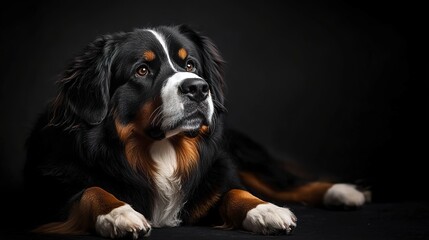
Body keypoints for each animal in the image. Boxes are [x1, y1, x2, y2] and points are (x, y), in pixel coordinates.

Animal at [24, 24, 368, 238]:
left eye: (189, 64)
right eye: (142, 70)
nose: (198, 89)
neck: (161, 151)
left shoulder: (217, 172)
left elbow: (234, 191)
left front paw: (264, 210)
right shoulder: (46, 195)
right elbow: (90, 190)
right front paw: (118, 214)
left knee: (286, 184)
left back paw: (343, 192)